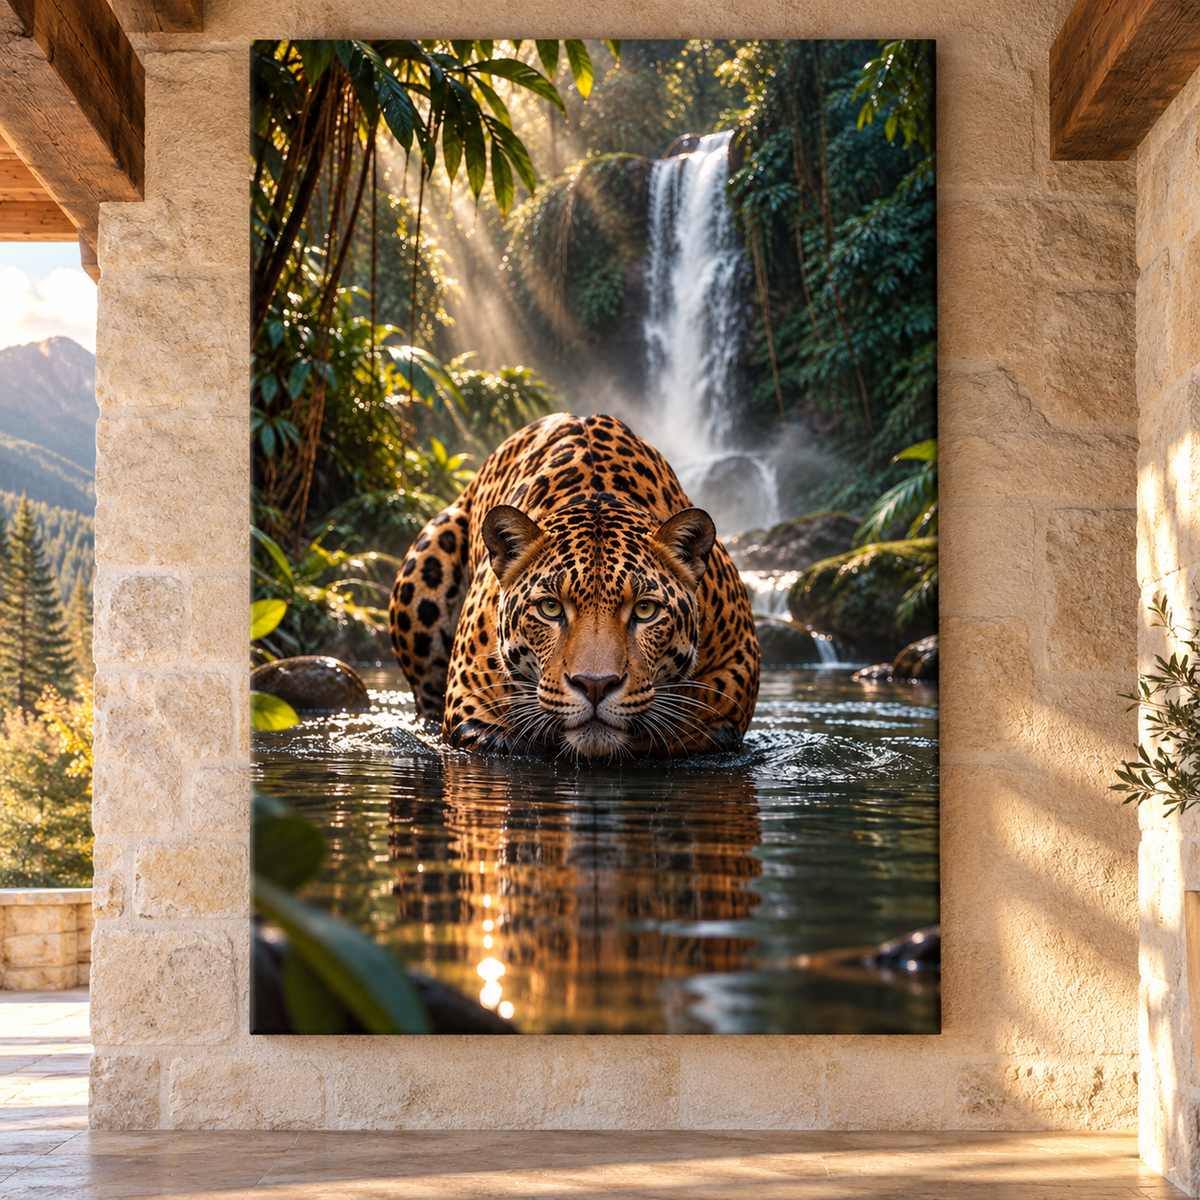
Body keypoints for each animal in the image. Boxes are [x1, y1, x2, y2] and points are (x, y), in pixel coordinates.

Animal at [387, 412, 760, 758]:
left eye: (645, 609)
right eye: (550, 607)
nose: (595, 686)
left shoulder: (735, 669)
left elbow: (694, 719)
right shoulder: (471, 709)